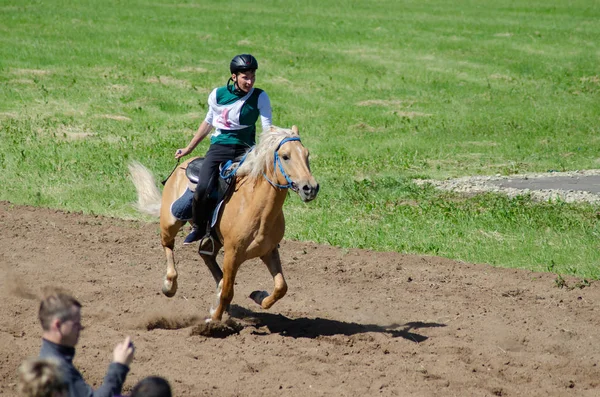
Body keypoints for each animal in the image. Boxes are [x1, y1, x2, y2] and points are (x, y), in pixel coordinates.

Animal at [129, 125, 318, 320]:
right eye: (285, 156)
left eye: (306, 154)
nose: (310, 188)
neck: (253, 207)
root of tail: (183, 165)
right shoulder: (232, 254)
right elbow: (229, 291)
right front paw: (214, 319)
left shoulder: (269, 250)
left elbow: (281, 287)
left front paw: (259, 296)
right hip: (170, 222)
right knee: (168, 245)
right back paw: (169, 284)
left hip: (214, 238)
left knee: (206, 255)